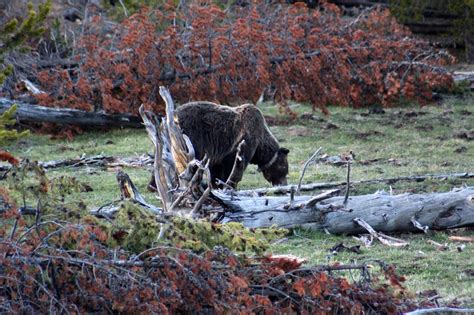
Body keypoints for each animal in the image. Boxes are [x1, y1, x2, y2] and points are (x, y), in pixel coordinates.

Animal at [148, 102, 288, 190]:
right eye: (284, 170)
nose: (283, 184)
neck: (260, 146)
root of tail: (166, 120)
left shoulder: (218, 153)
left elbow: (216, 169)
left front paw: (216, 184)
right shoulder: (243, 141)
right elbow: (233, 166)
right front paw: (229, 184)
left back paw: (154, 185)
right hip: (188, 136)